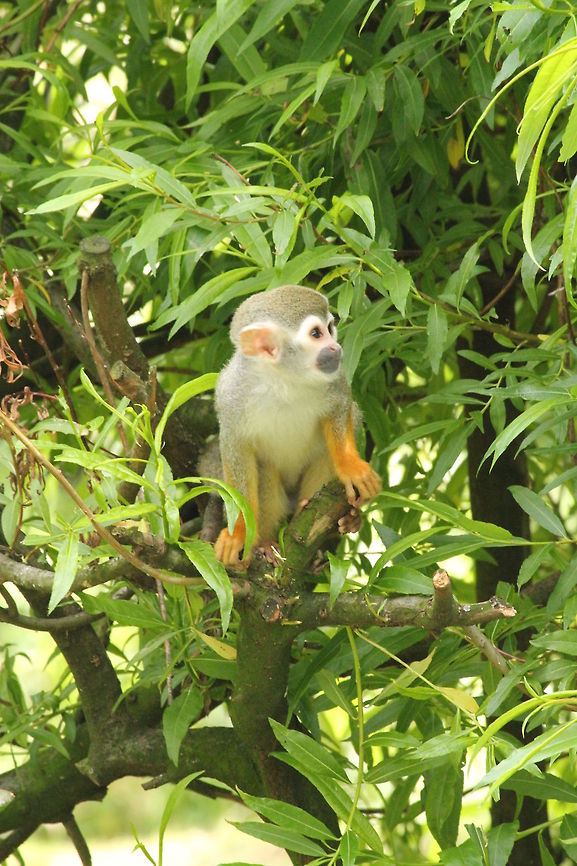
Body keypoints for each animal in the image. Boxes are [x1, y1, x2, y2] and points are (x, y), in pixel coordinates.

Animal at [212, 284, 381, 566]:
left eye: (330, 327)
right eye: (316, 334)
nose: (335, 347)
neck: (283, 379)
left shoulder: (334, 377)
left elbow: (342, 405)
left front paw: (350, 465)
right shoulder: (231, 394)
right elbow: (235, 447)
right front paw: (239, 533)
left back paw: (342, 519)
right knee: (263, 468)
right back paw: (265, 544)